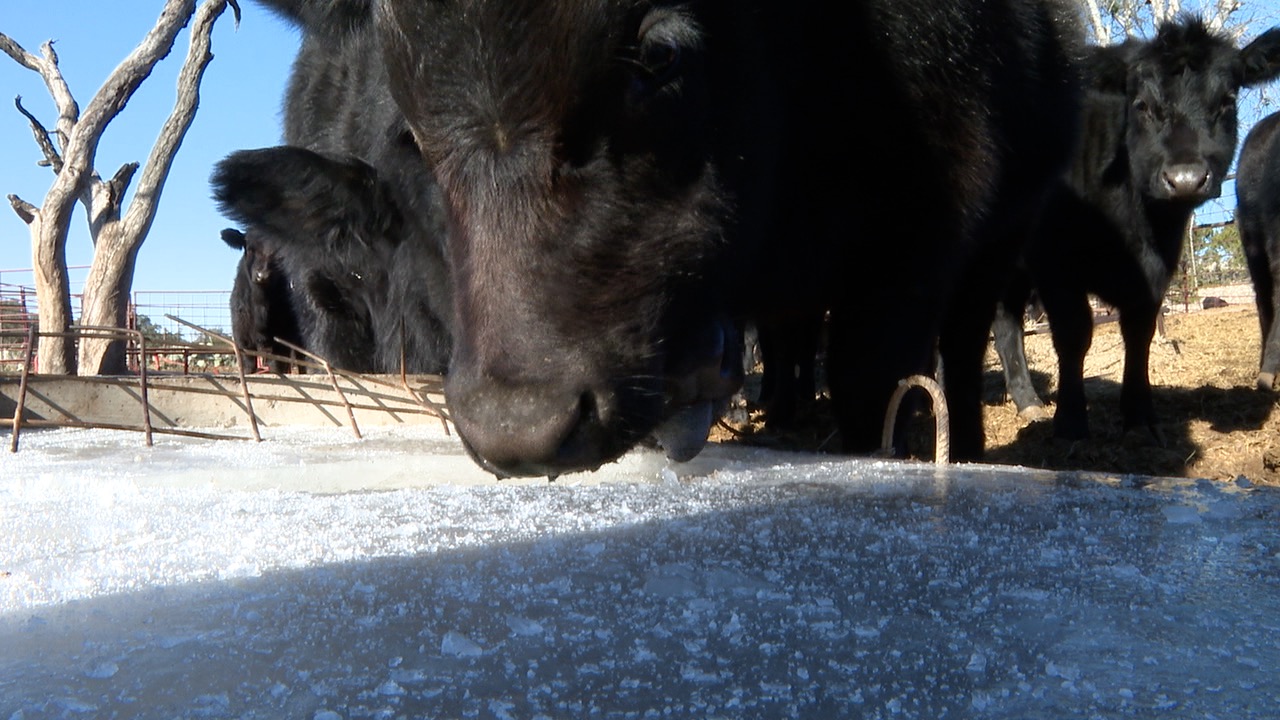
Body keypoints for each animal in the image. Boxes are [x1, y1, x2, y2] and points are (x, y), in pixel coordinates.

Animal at [221, 226, 303, 373]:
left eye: (279, 252)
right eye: (249, 248)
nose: (262, 275)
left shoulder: (281, 342)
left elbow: (277, 367)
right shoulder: (242, 338)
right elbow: (248, 366)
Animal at [253, 0, 1085, 476]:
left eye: (660, 53)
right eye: (410, 129)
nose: (521, 427)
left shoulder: (914, 242)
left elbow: (869, 388)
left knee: (966, 341)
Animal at [1015, 17, 1280, 441]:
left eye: (1226, 101)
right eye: (1141, 105)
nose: (1186, 179)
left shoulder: (1156, 267)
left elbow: (1139, 332)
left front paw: (1139, 415)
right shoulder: (1054, 261)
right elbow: (1074, 333)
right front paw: (1071, 421)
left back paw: (1027, 400)